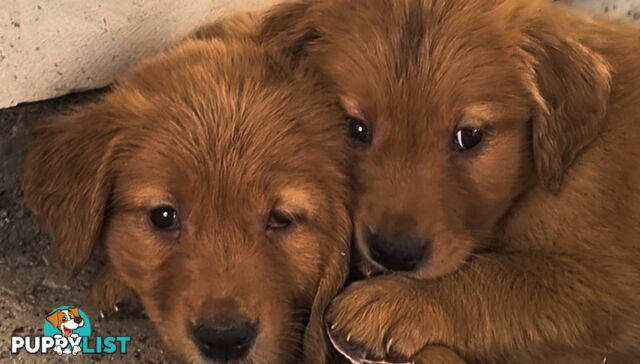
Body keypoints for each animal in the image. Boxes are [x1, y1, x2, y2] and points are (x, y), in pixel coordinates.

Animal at [262, 0, 640, 362]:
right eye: (355, 127)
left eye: (469, 136)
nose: (393, 253)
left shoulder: (612, 283)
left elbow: (506, 277)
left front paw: (395, 300)